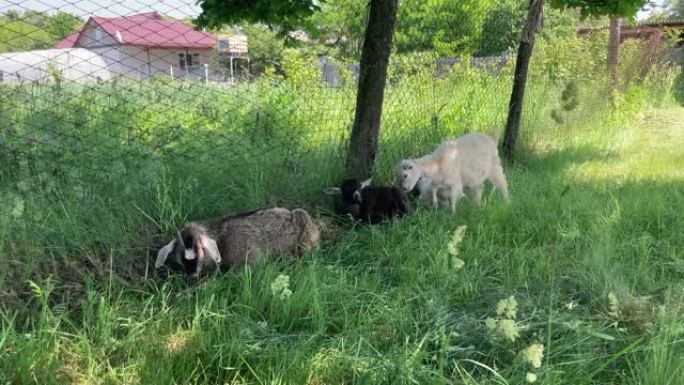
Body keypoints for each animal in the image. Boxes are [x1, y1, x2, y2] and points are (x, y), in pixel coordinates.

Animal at [156, 208, 322, 278]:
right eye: (181, 261)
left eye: (201, 257)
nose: (192, 277)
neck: (221, 239)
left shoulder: (249, 255)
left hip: (305, 230)